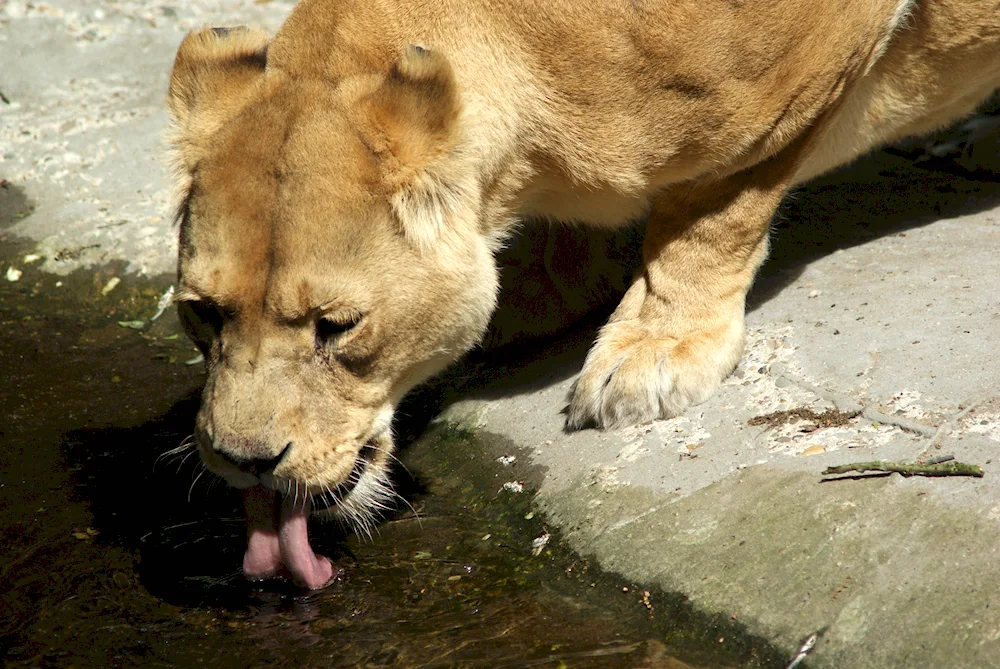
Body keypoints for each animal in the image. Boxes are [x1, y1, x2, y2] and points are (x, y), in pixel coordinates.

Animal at [167, 0, 1000, 588]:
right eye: (202, 312)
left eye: (335, 326)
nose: (243, 459)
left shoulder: (793, 86)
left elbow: (710, 212)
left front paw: (654, 351)